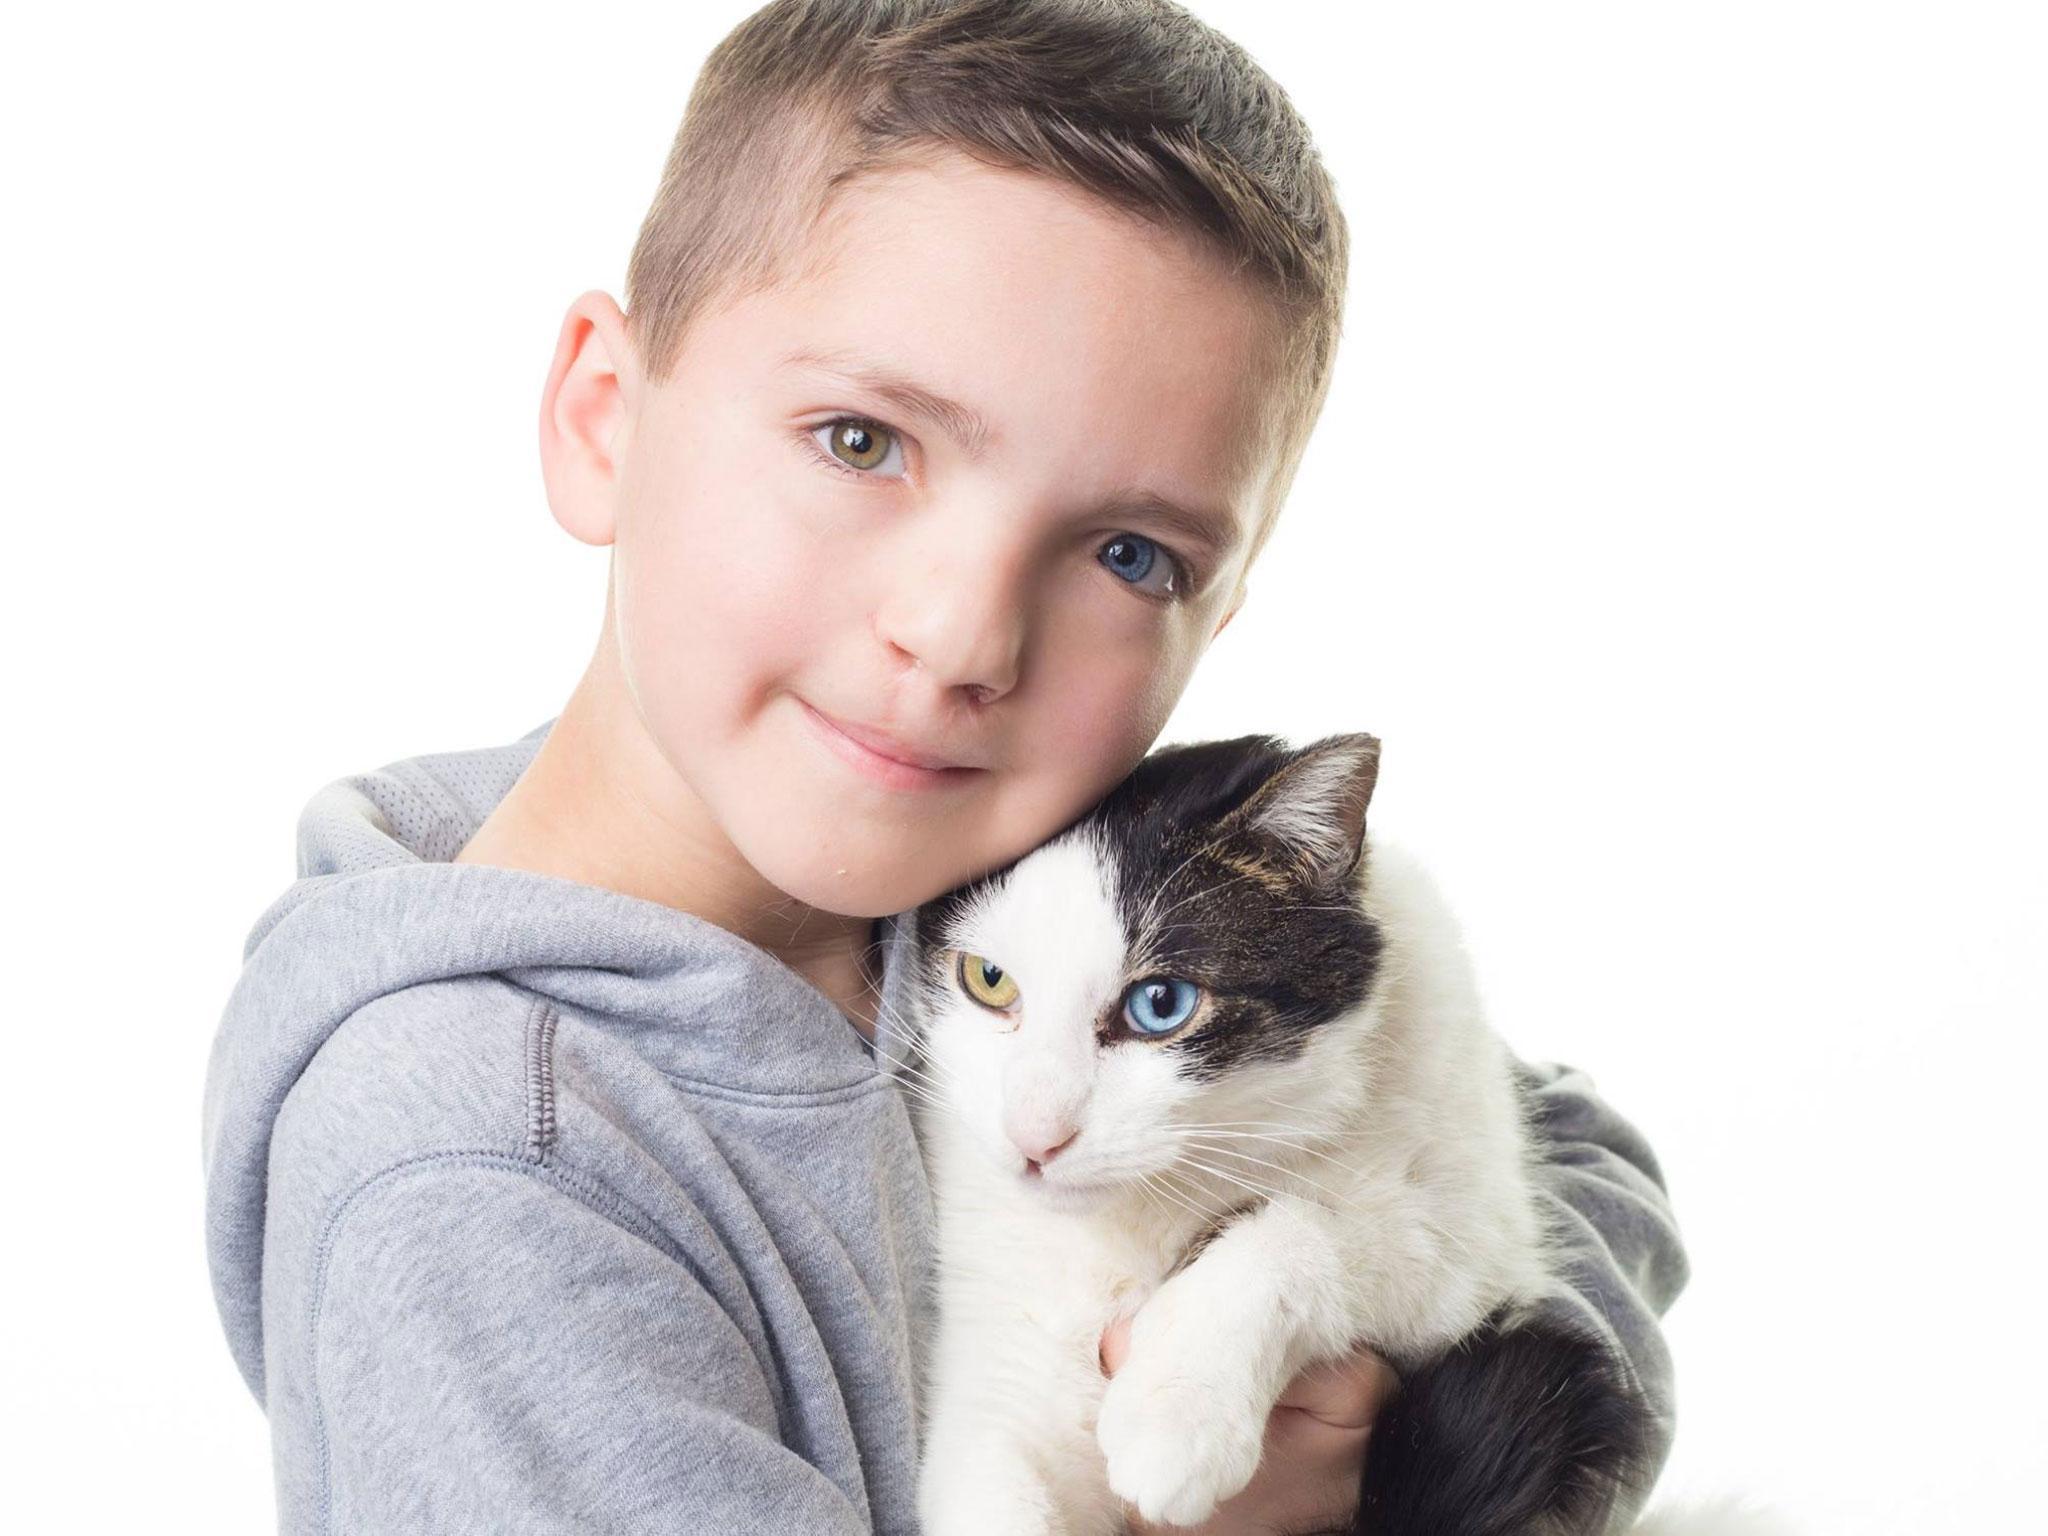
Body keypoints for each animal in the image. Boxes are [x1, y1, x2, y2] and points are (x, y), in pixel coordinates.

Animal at [897, 733, 1662, 1536]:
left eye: (1161, 1003)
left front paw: (1177, 1411)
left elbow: (1314, 1232)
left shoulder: (1477, 1245)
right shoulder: (1002, 1354)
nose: (1035, 1138)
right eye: (988, 979)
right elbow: (997, 1454)